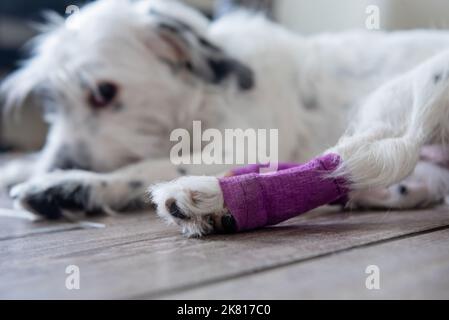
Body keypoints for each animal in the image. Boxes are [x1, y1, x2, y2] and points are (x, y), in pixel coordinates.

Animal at [2, 0, 448, 235]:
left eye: (104, 92)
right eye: (52, 101)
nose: (59, 164)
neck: (206, 93)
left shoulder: (239, 145)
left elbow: (150, 166)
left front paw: (69, 184)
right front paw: (25, 168)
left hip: (417, 92)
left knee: (356, 160)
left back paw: (207, 200)